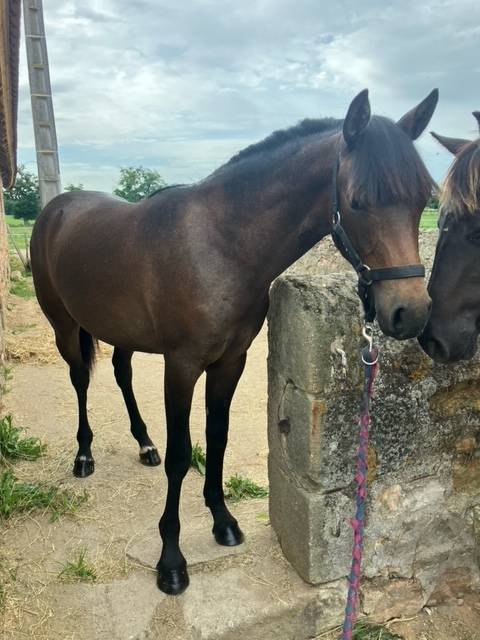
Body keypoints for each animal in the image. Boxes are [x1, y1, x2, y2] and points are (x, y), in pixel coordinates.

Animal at [30, 88, 438, 595]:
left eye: (422, 199)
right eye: (359, 201)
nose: (410, 313)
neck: (220, 245)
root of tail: (56, 209)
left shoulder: (231, 361)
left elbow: (217, 438)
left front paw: (222, 521)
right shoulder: (181, 366)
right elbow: (182, 455)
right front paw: (171, 561)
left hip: (123, 332)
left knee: (122, 374)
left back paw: (144, 444)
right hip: (64, 327)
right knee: (80, 382)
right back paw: (84, 455)